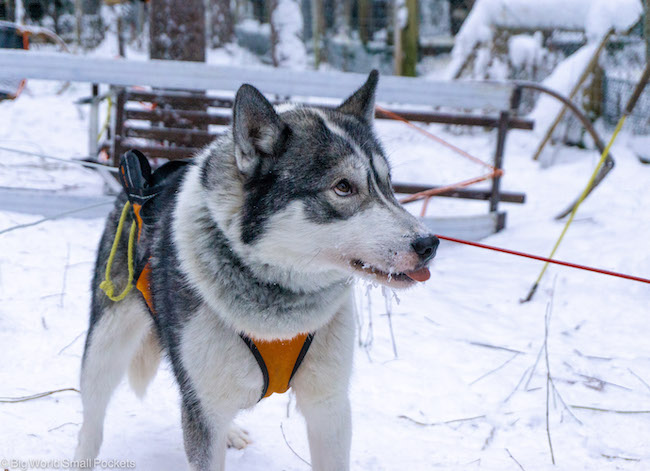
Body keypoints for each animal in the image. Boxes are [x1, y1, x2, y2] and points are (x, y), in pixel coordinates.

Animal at [76, 71, 438, 471]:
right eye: (343, 187)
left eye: (388, 184)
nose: (428, 244)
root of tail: (145, 181)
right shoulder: (204, 408)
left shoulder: (328, 406)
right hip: (106, 344)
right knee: (91, 420)